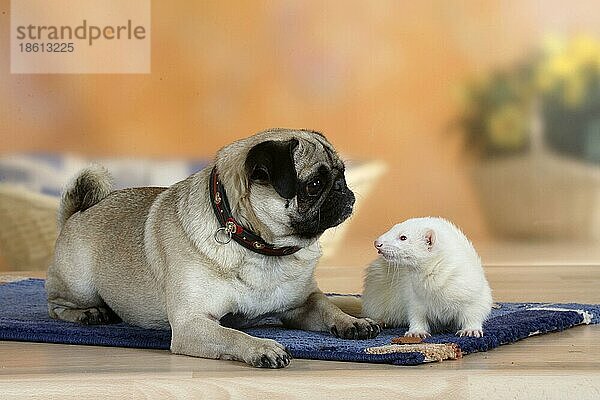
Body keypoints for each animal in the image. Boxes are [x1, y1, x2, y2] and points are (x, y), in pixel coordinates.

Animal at [49, 129, 382, 368]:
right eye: (314, 185)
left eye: (342, 174)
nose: (344, 190)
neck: (262, 249)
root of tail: (76, 213)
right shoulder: (192, 323)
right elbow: (232, 334)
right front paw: (263, 347)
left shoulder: (302, 304)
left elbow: (328, 307)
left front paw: (353, 322)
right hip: (80, 285)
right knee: (55, 306)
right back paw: (90, 314)